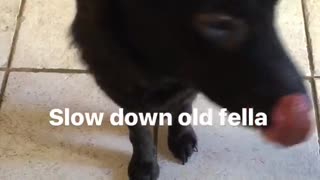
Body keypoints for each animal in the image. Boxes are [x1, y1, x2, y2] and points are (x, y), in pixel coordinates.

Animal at [72, 0, 312, 179]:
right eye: (217, 22)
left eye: (273, 10)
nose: (301, 111)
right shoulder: (120, 85)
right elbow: (140, 133)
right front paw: (145, 163)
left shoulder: (189, 85)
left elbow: (182, 108)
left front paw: (181, 137)